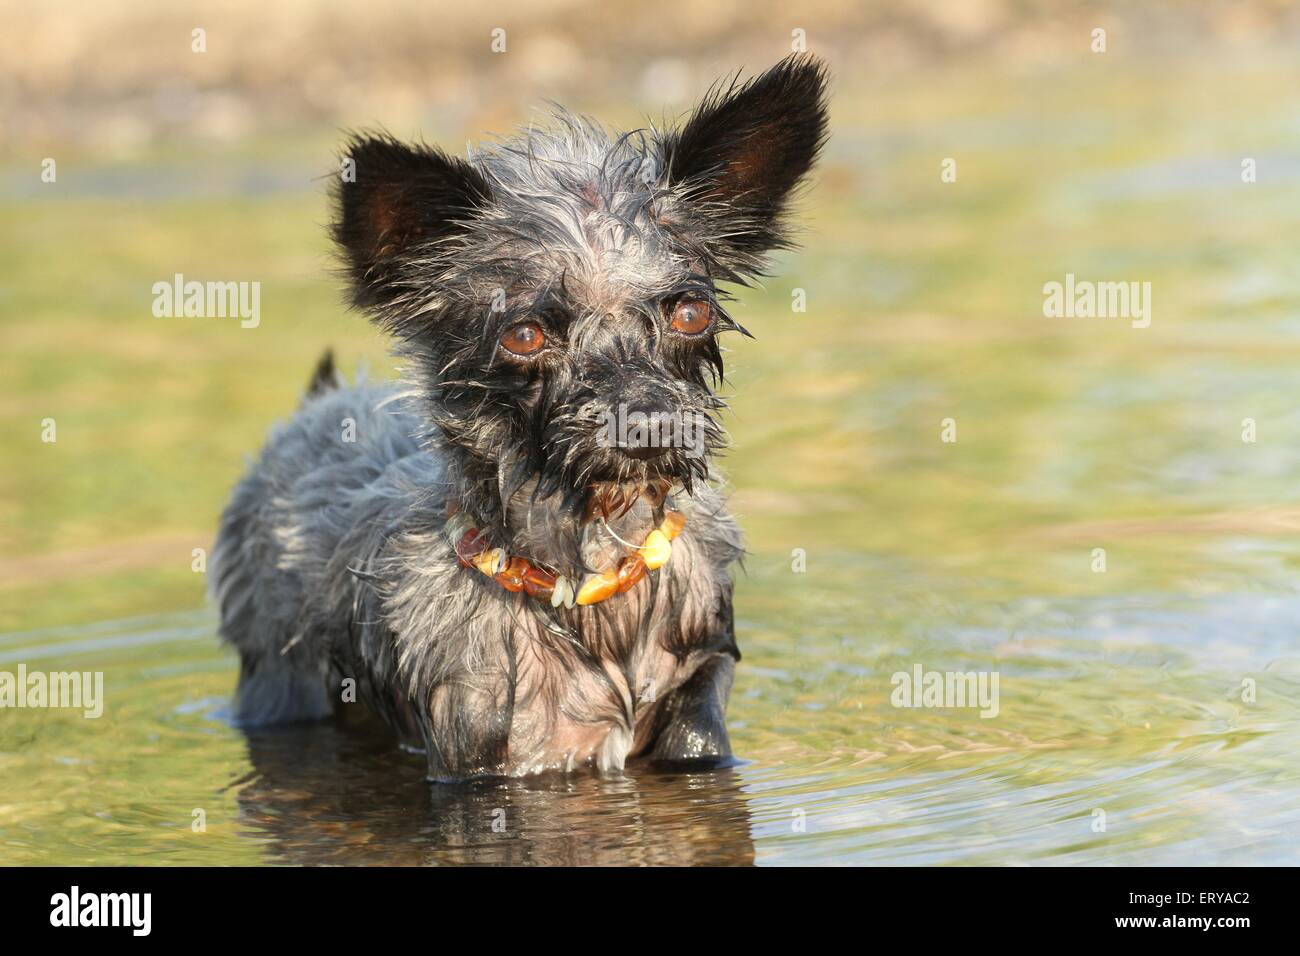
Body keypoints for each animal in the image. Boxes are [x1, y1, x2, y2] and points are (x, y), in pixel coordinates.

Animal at [209, 52, 826, 780]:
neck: (593, 576)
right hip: (279, 686)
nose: (649, 422)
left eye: (690, 312)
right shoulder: (490, 758)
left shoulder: (699, 702)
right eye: (525, 335)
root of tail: (319, 403)